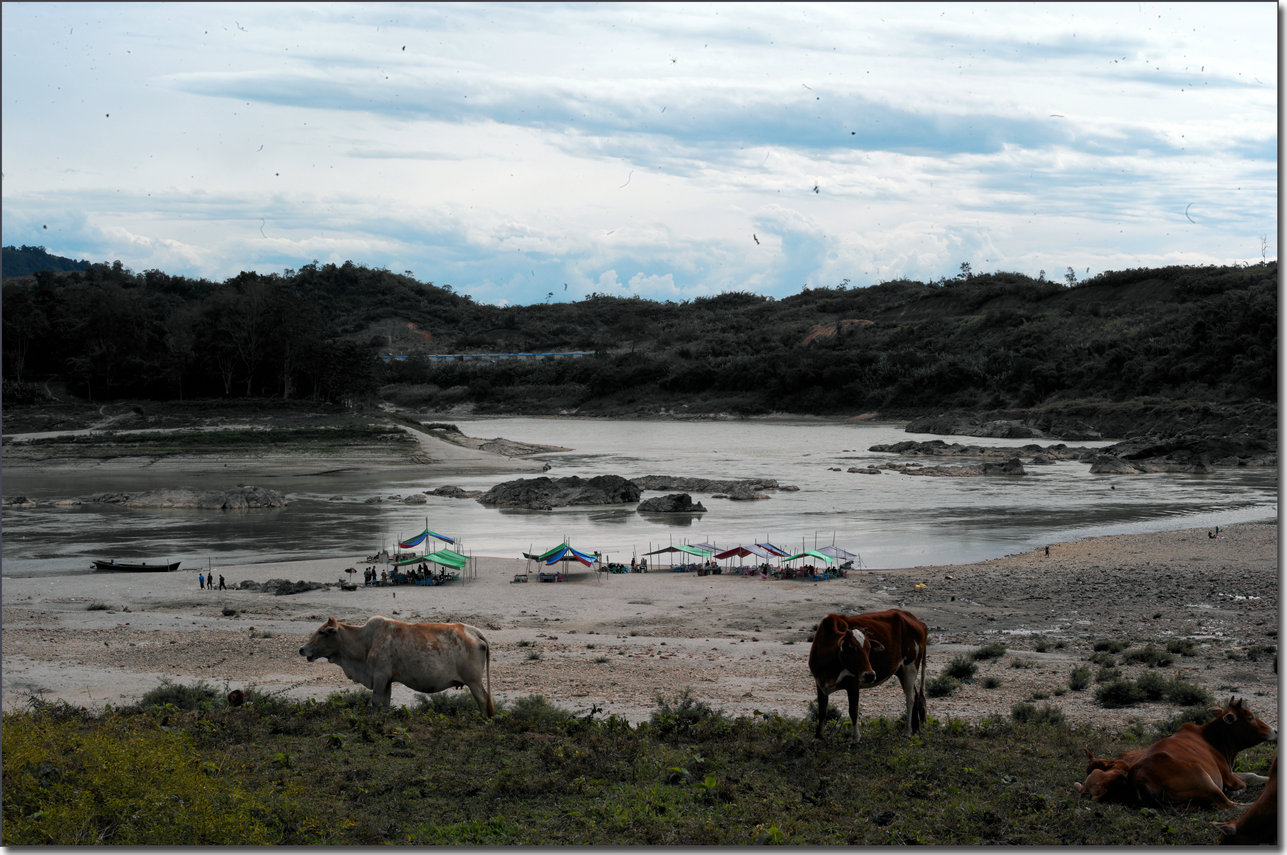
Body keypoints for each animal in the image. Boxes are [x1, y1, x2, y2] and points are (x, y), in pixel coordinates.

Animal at [298, 615, 494, 715]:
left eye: (322, 632)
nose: (302, 649)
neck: (365, 642)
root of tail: (473, 631)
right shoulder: (387, 680)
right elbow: (385, 703)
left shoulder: (379, 676)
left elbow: (376, 702)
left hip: (474, 681)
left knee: (483, 700)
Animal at [803, 607, 926, 741]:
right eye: (850, 648)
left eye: (869, 648)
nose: (870, 675)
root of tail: (916, 620)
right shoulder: (819, 682)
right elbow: (822, 710)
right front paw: (818, 736)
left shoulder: (853, 683)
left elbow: (853, 710)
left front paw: (856, 738)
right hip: (902, 671)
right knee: (917, 696)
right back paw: (916, 729)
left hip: (910, 667)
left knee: (910, 698)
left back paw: (907, 731)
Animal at [1075, 695, 1276, 808]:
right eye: (1250, 717)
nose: (1274, 730)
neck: (1214, 740)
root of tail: (1139, 776)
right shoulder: (1227, 776)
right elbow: (1244, 784)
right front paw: (1238, 791)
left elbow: (1252, 775)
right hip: (1203, 777)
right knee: (1229, 805)